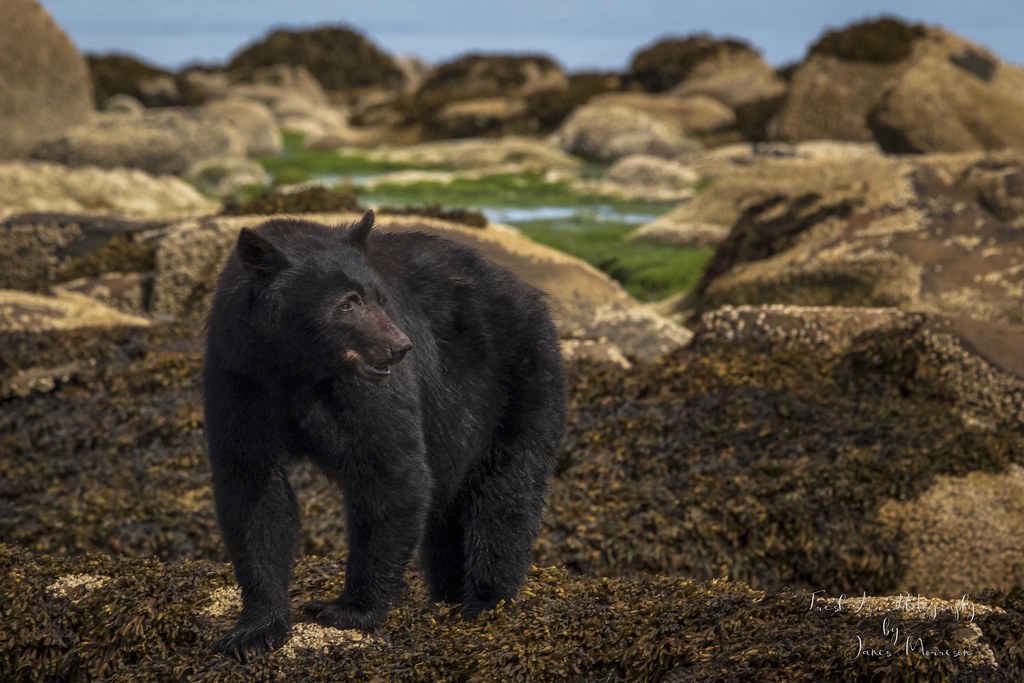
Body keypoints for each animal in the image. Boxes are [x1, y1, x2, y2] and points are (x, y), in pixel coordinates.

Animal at [202, 211, 567, 662]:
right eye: (348, 302)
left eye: (379, 297)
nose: (399, 347)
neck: (296, 368)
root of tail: (530, 291)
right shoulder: (240, 375)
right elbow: (252, 488)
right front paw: (254, 630)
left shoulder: (364, 392)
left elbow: (389, 472)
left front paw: (348, 609)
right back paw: (447, 594)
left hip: (519, 381)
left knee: (506, 491)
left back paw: (485, 601)